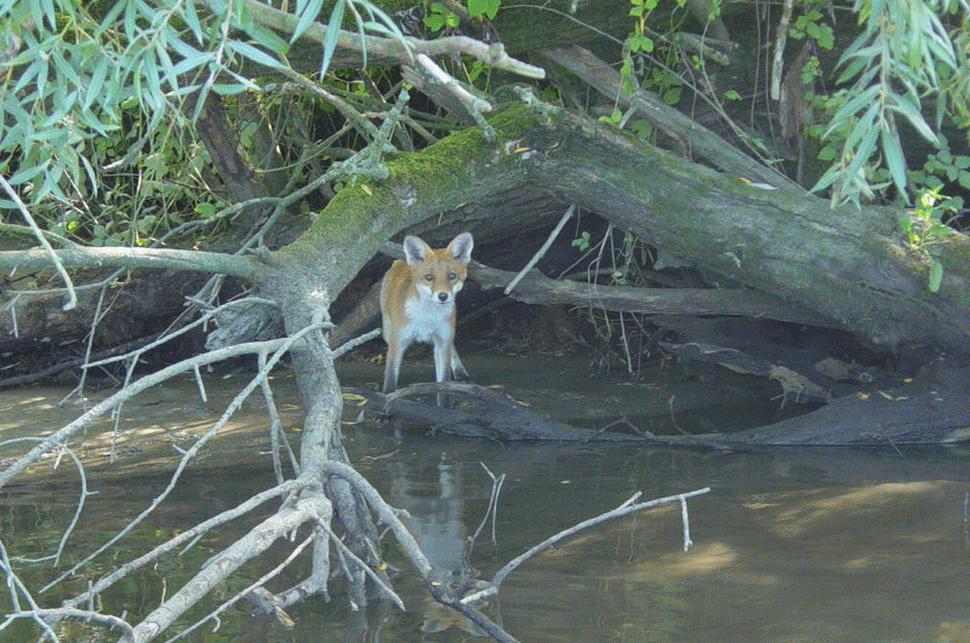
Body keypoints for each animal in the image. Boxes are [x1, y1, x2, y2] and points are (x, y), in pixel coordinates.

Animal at [378, 231, 472, 402]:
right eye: (429, 277)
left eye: (452, 276)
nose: (443, 296)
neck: (427, 319)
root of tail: (400, 261)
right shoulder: (398, 342)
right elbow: (390, 379)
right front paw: (387, 402)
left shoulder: (442, 341)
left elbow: (443, 385)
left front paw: (444, 407)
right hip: (388, 332)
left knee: (452, 346)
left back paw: (460, 371)